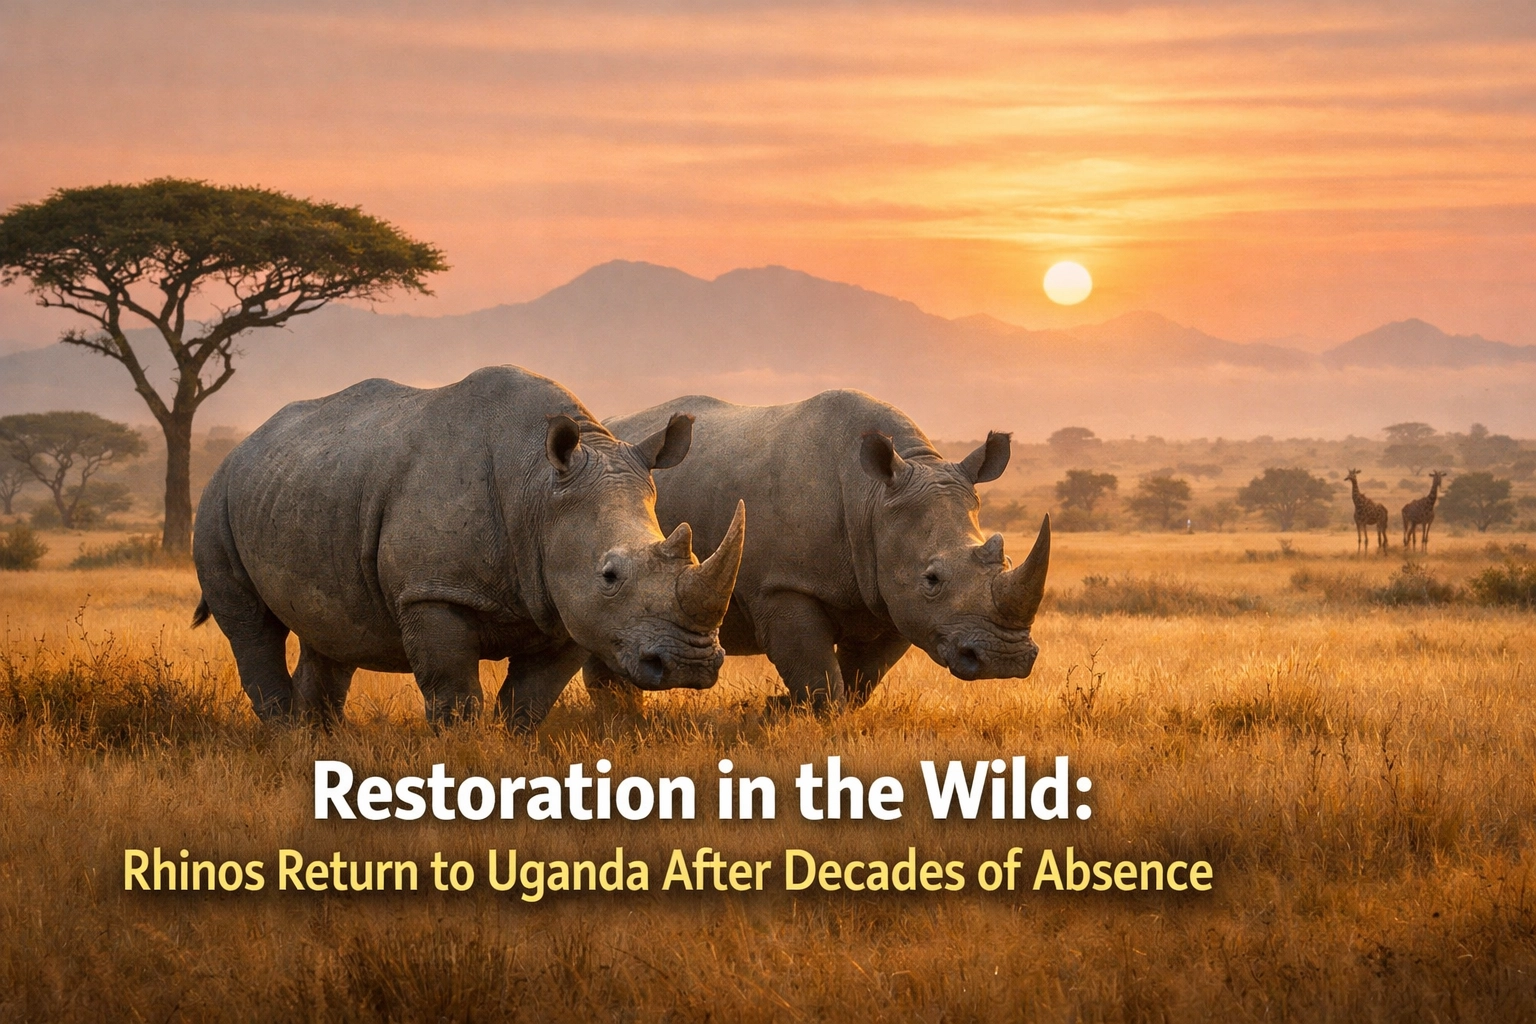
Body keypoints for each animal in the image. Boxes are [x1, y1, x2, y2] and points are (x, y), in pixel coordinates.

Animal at [192, 366, 745, 729]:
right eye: (609, 575)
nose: (690, 665)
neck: (539, 490)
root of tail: (243, 446)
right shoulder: (432, 591)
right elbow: (455, 697)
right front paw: (462, 760)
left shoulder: (567, 605)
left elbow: (528, 703)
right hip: (217, 497)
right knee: (252, 628)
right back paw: (285, 737)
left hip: (305, 484)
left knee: (330, 633)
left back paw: (316, 744)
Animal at [588, 390, 1049, 710]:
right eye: (932, 579)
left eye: (1006, 560)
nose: (1003, 660)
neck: (873, 499)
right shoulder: (782, 586)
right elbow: (820, 681)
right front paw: (797, 714)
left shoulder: (891, 597)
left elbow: (861, 679)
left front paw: (779, 708)